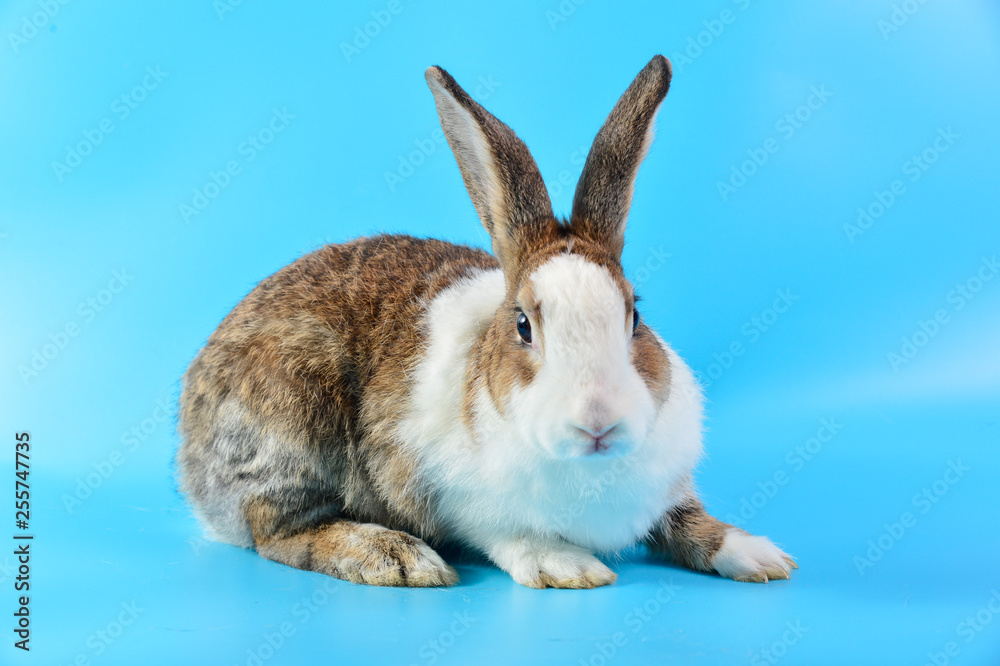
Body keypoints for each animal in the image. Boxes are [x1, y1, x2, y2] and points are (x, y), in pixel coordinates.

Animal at [176, 55, 796, 589]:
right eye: (524, 325)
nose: (598, 423)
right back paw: (394, 557)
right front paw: (568, 567)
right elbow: (509, 535)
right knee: (277, 532)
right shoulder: (458, 499)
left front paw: (759, 556)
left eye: (635, 316)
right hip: (296, 423)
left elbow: (688, 521)